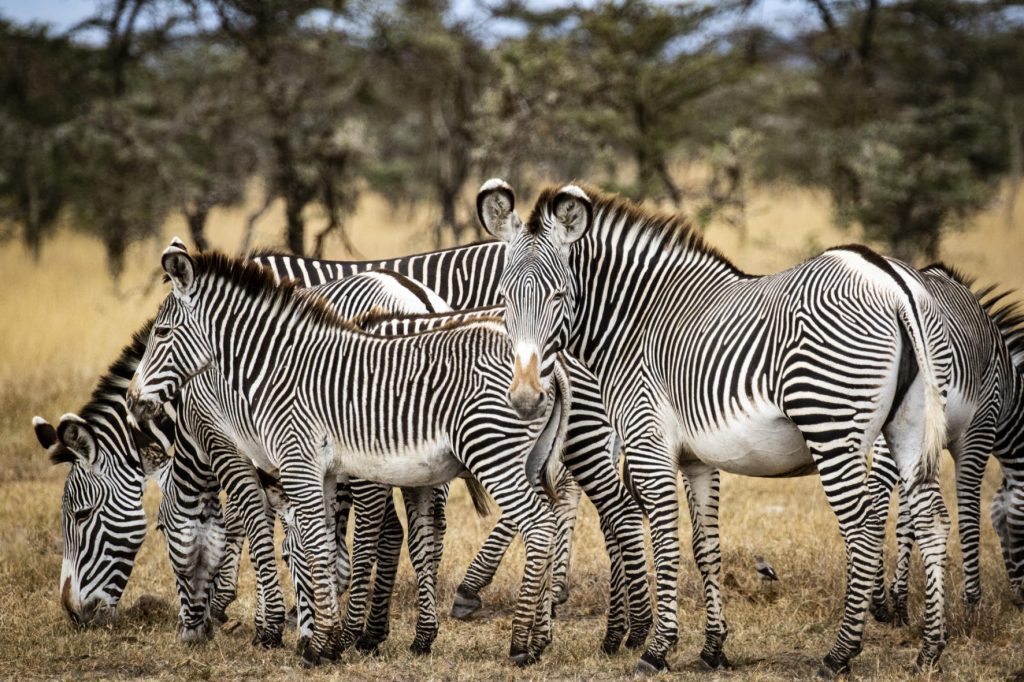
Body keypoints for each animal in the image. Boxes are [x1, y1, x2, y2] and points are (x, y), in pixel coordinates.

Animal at [125, 244, 569, 663]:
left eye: (161, 331)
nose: (132, 400)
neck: (274, 368)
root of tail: (545, 367)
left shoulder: (292, 463)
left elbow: (305, 544)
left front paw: (312, 643)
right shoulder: (318, 473)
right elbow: (318, 545)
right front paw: (325, 640)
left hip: (492, 451)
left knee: (539, 525)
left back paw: (519, 644)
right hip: (529, 460)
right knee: (548, 518)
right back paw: (540, 638)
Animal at [479, 176, 950, 675]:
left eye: (558, 296)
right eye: (505, 298)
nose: (525, 397)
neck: (636, 321)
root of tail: (890, 279)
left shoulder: (649, 445)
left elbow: (665, 540)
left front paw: (657, 650)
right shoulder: (697, 460)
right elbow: (705, 548)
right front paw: (712, 648)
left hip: (831, 426)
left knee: (862, 529)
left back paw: (840, 654)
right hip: (909, 426)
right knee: (933, 520)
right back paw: (930, 651)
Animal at [868, 261, 1024, 614]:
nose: (1021, 599)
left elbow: (908, 518)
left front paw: (900, 599)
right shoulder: (978, 431)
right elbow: (969, 512)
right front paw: (972, 602)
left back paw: (879, 600)